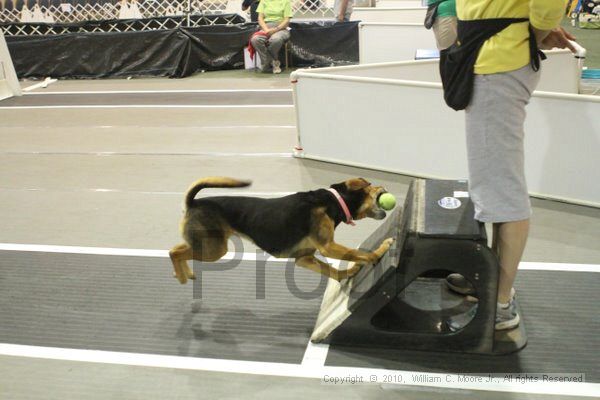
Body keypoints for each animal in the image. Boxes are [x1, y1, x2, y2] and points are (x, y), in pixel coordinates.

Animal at [170, 177, 394, 282]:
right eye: (374, 186)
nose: (386, 188)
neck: (333, 201)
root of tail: (193, 203)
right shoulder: (328, 246)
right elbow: (360, 253)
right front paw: (380, 252)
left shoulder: (305, 258)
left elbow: (332, 271)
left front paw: (348, 273)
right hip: (214, 249)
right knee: (174, 252)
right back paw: (181, 276)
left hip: (206, 245)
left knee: (180, 249)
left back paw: (185, 273)